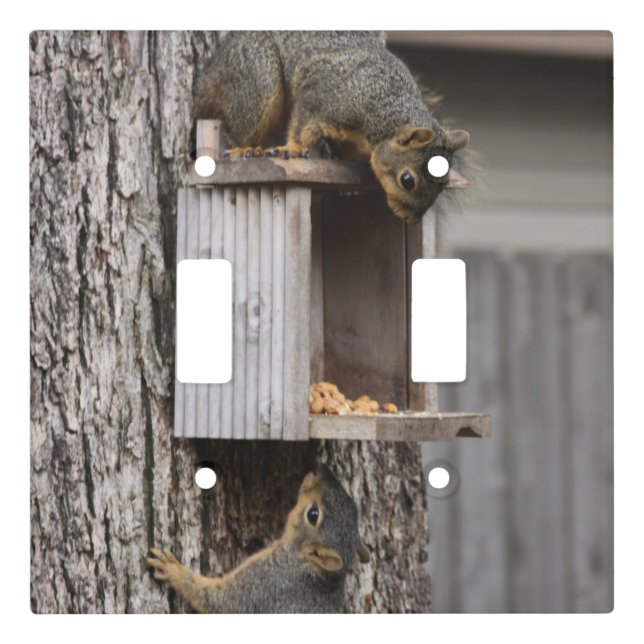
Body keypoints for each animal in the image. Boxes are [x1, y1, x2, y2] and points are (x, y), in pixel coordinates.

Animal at [147, 465, 369, 613]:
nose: (319, 470)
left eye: (313, 514)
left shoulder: (262, 585)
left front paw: (172, 569)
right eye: (353, 506)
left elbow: (216, 601)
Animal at [193, 31, 470, 224]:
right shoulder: (323, 98)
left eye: (443, 184)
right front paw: (294, 148)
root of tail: (212, 69)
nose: (412, 220)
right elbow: (302, 124)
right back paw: (247, 148)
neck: (385, 108)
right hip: (258, 77)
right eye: (407, 180)